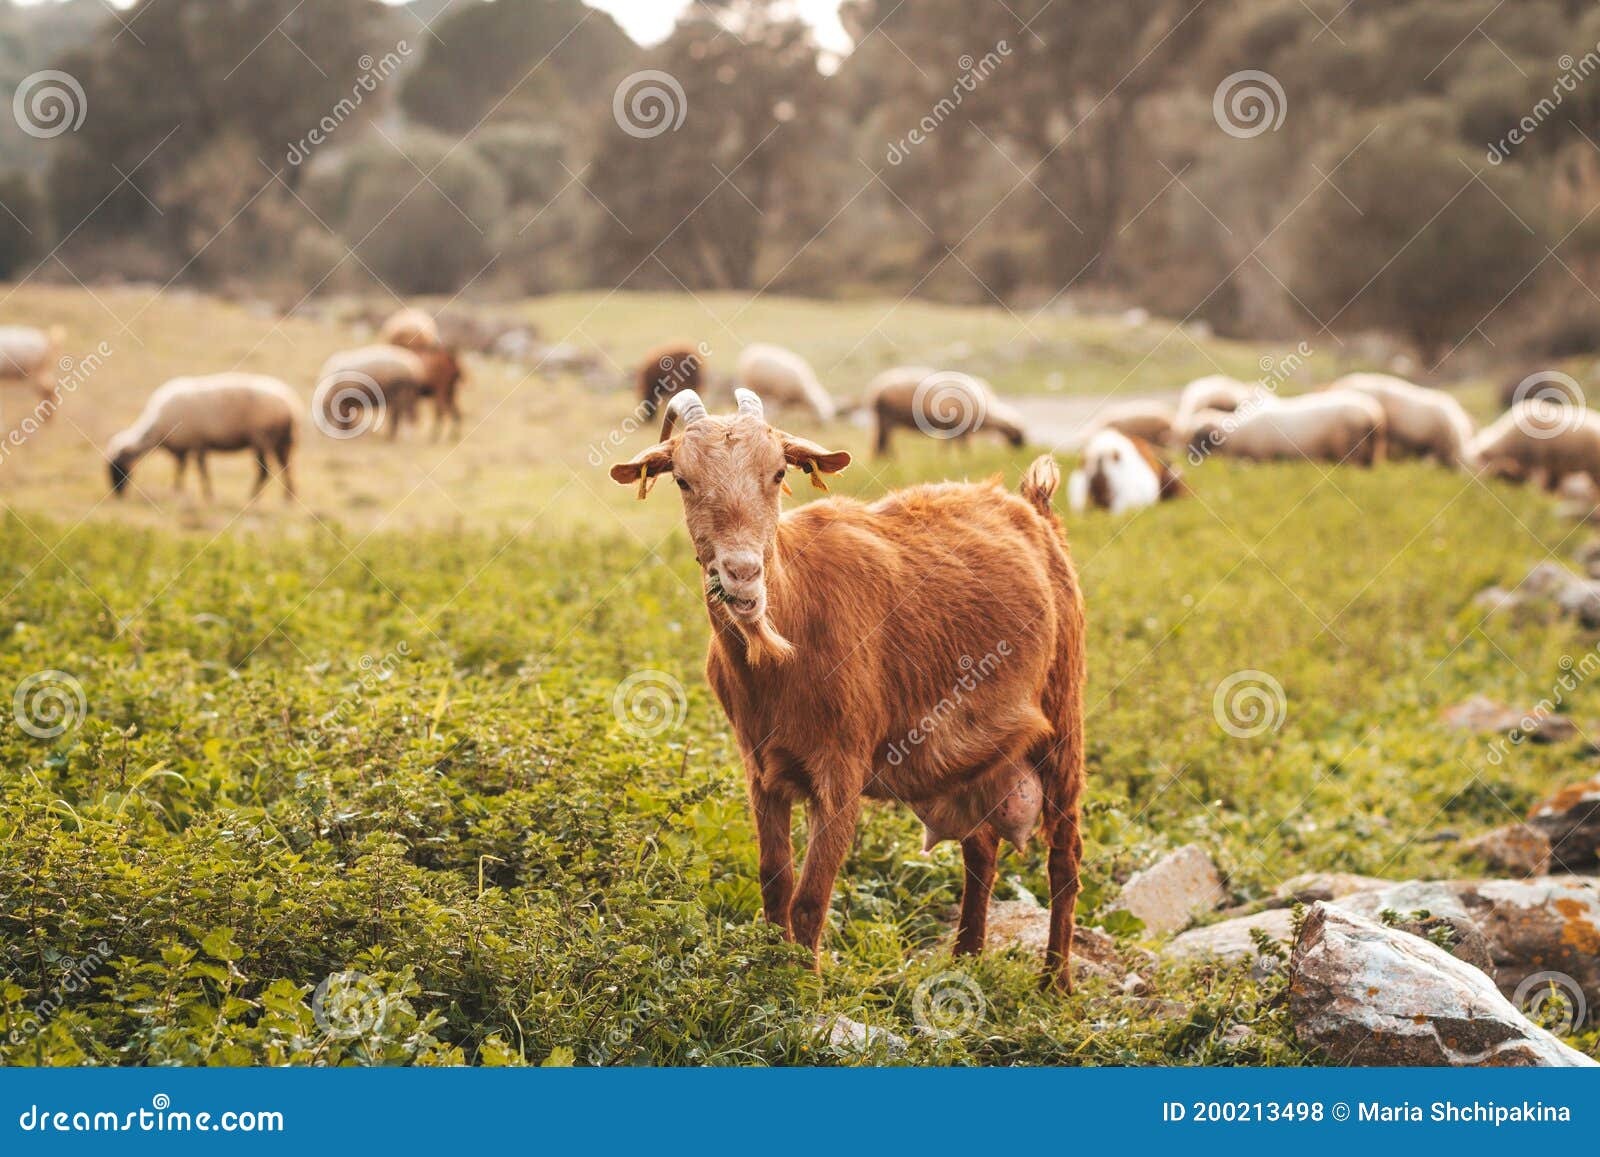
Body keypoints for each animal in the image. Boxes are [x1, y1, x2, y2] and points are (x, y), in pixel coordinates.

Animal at [106, 371, 300, 499]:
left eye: (117, 467)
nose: (117, 494)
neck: (157, 429)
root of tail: (290, 404)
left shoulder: (197, 443)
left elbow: (201, 470)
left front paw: (207, 495)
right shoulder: (184, 447)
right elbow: (181, 469)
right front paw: (177, 490)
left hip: (261, 438)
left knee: (264, 470)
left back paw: (252, 496)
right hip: (282, 442)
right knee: (286, 467)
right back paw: (288, 497)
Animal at [608, 388, 1088, 998]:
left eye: (777, 472)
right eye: (684, 480)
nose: (742, 574)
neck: (786, 635)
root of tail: (1034, 507)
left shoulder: (842, 766)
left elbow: (811, 897)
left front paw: (804, 990)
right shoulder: (761, 767)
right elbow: (775, 882)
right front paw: (772, 975)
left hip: (1064, 712)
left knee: (1064, 855)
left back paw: (1055, 980)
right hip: (982, 756)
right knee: (981, 848)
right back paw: (966, 958)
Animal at [864, 366, 1024, 457]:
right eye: (1019, 432)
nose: (1023, 448)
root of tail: (876, 388)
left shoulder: (953, 426)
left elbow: (951, 443)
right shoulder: (956, 425)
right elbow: (958, 444)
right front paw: (962, 456)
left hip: (883, 418)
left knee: (880, 440)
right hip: (887, 417)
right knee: (884, 440)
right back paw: (890, 458)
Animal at [1190, 392, 1388, 467]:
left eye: (1199, 438)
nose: (1189, 456)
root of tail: (1373, 414)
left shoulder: (1262, 457)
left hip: (1352, 450)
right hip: (1372, 451)